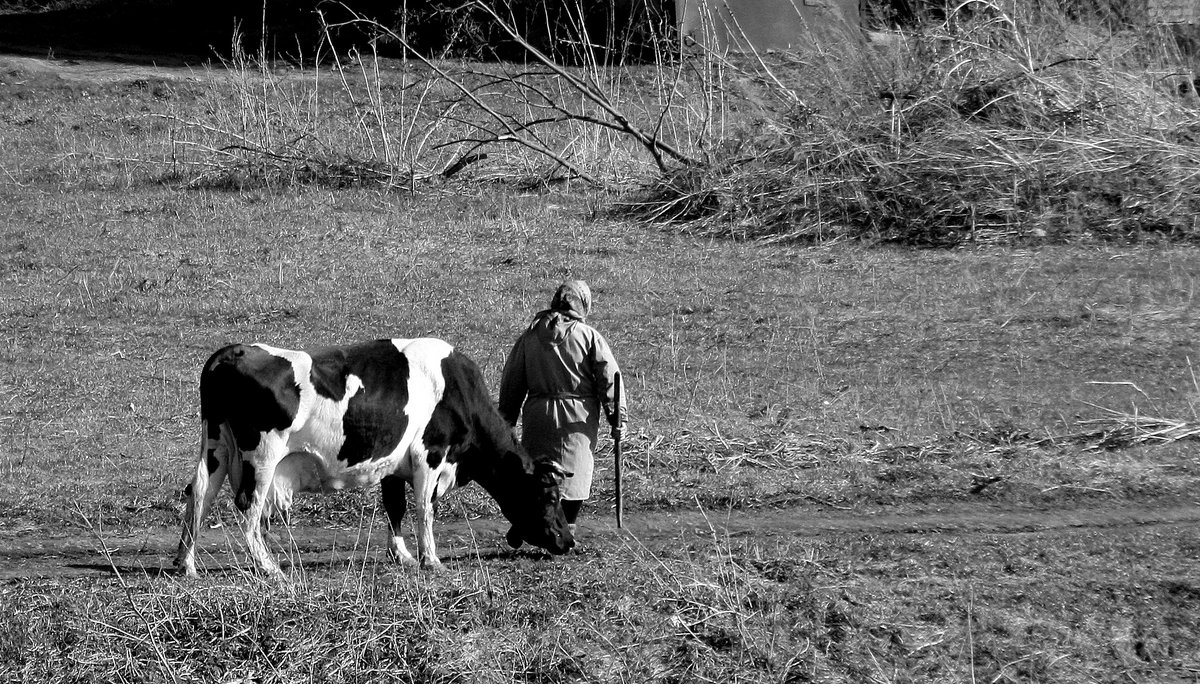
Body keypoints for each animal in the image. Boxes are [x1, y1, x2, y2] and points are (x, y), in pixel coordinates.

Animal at [172, 336, 576, 576]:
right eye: (550, 495)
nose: (569, 542)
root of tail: (233, 351)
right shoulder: (430, 454)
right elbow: (425, 509)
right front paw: (431, 559)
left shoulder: (394, 464)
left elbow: (395, 507)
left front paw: (402, 555)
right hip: (262, 456)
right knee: (248, 506)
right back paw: (270, 566)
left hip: (216, 446)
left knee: (200, 494)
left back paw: (186, 563)